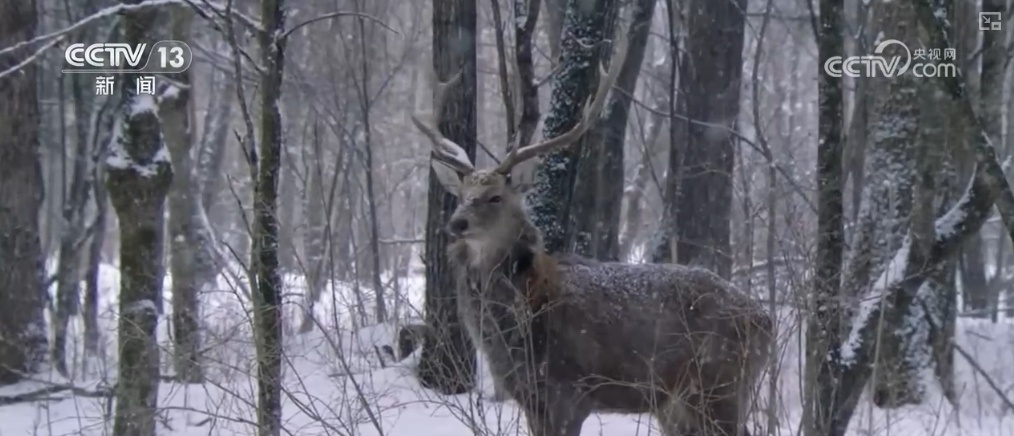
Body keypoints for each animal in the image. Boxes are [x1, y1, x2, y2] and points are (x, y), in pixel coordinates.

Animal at [407, 31, 770, 435]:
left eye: (495, 196)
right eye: (461, 195)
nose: (457, 223)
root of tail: (765, 320)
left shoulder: (570, 392)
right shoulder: (531, 397)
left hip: (721, 385)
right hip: (678, 404)